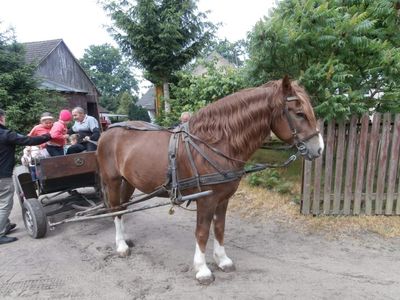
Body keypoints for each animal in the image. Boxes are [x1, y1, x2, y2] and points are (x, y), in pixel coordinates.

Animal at [97, 76, 324, 284]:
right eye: (299, 113)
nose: (319, 149)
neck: (215, 144)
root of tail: (109, 130)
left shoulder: (223, 199)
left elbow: (219, 228)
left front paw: (222, 260)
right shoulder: (206, 200)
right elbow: (202, 232)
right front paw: (202, 269)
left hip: (128, 182)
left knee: (122, 209)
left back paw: (125, 238)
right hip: (113, 181)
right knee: (116, 210)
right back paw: (121, 245)